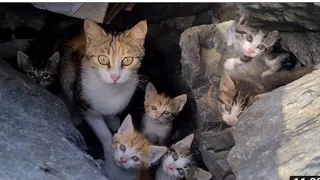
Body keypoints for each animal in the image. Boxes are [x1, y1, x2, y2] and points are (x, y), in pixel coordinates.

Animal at [59, 18, 148, 159]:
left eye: (127, 60)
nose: (115, 76)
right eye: (102, 59)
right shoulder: (89, 111)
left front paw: (113, 120)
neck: (112, 91)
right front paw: (110, 155)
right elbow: (103, 133)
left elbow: (111, 113)